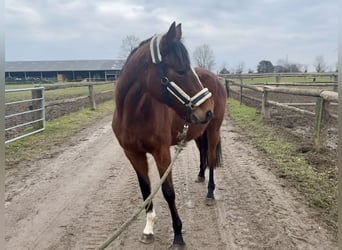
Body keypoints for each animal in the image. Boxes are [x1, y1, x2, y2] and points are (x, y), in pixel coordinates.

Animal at [112, 22, 227, 248]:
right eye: (181, 70)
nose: (207, 110)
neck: (133, 115)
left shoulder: (161, 153)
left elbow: (168, 192)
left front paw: (178, 235)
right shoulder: (133, 154)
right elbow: (145, 189)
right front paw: (148, 229)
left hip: (213, 129)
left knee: (210, 157)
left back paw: (210, 192)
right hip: (199, 131)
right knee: (202, 153)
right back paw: (200, 175)